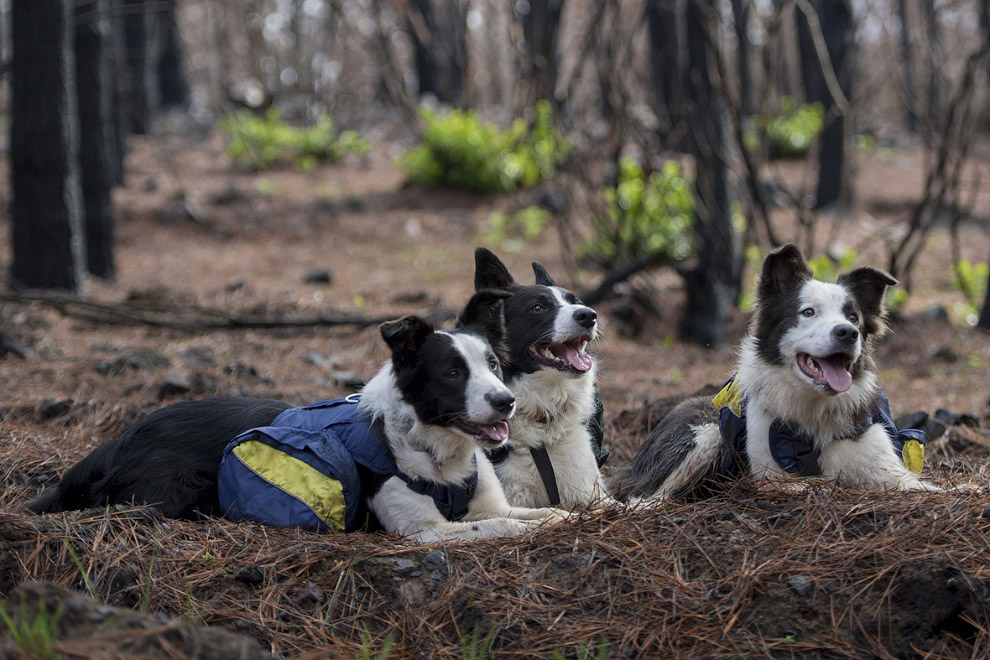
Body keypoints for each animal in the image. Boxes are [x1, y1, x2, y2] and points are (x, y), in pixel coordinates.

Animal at [29, 292, 564, 540]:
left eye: (492, 365)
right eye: (453, 373)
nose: (506, 402)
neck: (436, 452)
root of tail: (116, 441)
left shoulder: (490, 504)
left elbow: (547, 512)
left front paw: (576, 516)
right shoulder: (422, 532)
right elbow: (498, 528)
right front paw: (527, 533)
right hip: (181, 494)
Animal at [612, 244, 944, 500]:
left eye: (853, 318)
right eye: (808, 312)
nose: (848, 333)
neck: (815, 410)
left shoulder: (885, 467)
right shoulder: (769, 474)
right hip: (705, 434)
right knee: (644, 498)